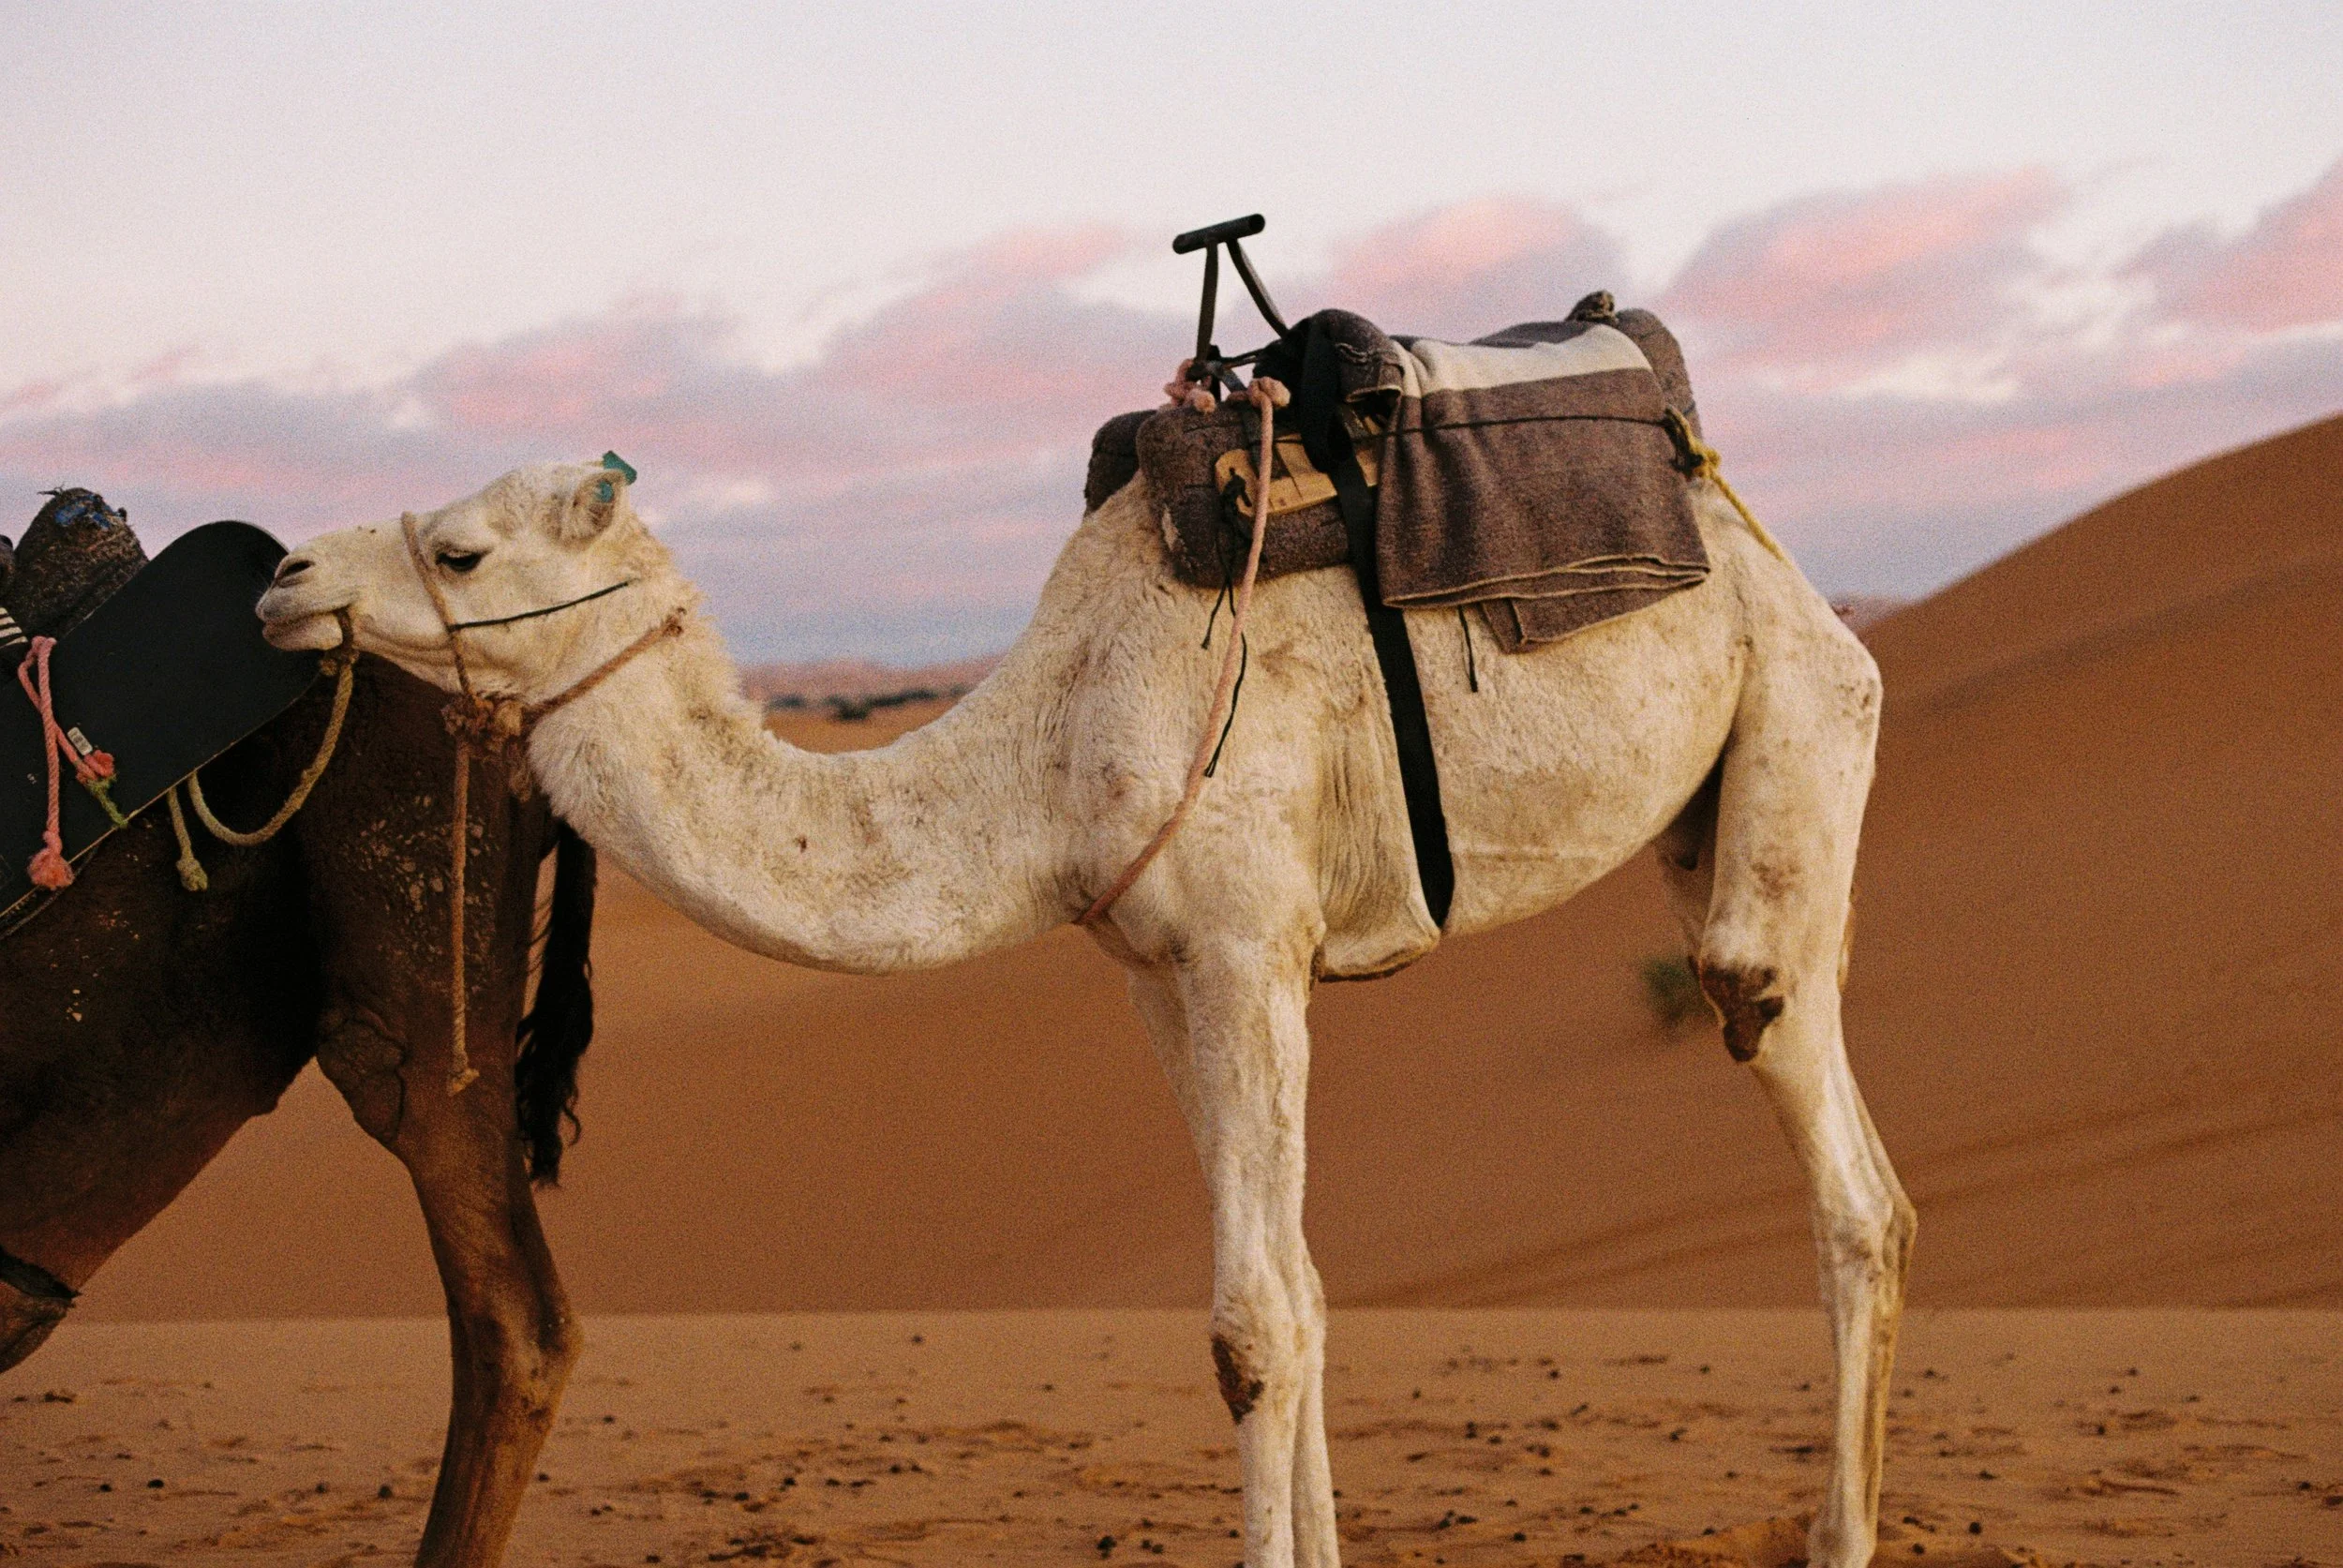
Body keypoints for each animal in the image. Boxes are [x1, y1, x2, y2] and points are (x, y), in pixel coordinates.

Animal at [258, 449, 1915, 1568]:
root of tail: (1759, 538)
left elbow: (1253, 1325)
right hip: (1708, 807)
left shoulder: (1247, 944)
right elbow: (1304, 1293)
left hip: (1797, 722)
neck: (1045, 756)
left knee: (1810, 1114)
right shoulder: (1166, 980)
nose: (283, 579)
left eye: (462, 550)